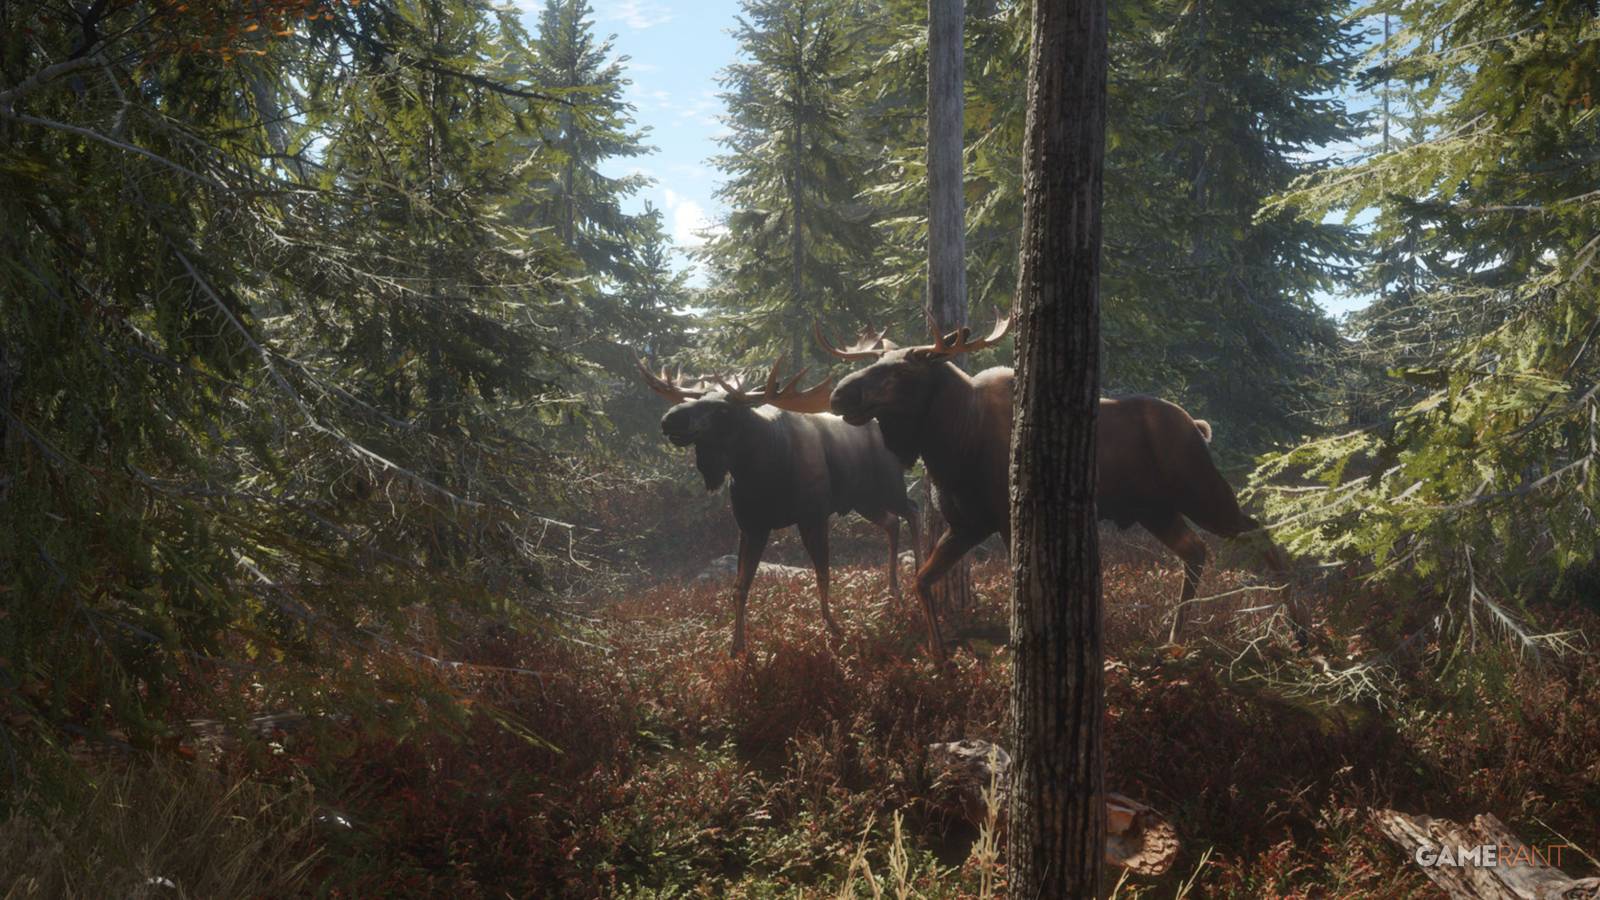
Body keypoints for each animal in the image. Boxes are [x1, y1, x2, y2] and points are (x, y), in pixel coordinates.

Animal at [639, 358, 921, 655]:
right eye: (699, 398)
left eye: (722, 408)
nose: (669, 418)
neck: (759, 471)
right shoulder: (751, 527)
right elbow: (740, 586)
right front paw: (737, 647)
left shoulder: (813, 517)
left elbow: (823, 573)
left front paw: (834, 629)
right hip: (864, 500)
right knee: (892, 522)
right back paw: (894, 589)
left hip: (888, 487)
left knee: (913, 510)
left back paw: (918, 573)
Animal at [818, 314, 1294, 660]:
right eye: (873, 363)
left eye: (900, 372)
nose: (839, 394)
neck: (951, 444)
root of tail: (1198, 426)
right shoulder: (967, 525)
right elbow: (921, 579)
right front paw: (939, 656)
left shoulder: (1004, 519)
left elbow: (1016, 588)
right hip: (1156, 510)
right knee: (1197, 550)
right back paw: (1175, 636)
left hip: (1200, 490)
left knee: (1261, 532)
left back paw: (1297, 632)